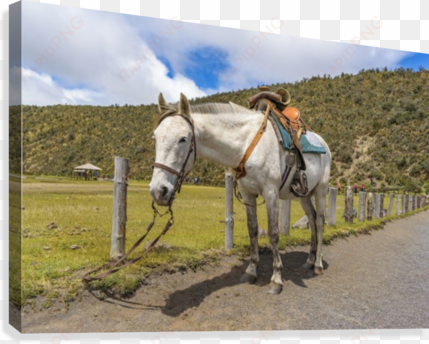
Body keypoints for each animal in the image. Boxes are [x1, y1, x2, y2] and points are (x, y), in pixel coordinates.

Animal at [150, 92, 332, 294]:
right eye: (155, 138)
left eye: (182, 139)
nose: (158, 191)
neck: (246, 144)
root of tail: (323, 143)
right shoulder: (247, 193)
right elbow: (252, 229)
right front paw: (251, 271)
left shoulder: (271, 192)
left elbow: (273, 233)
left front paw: (276, 279)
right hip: (304, 196)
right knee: (312, 220)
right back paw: (309, 260)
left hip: (321, 190)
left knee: (319, 222)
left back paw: (318, 264)